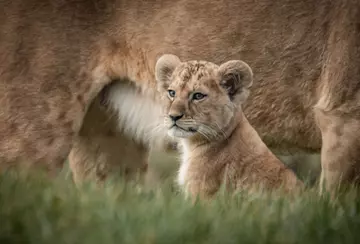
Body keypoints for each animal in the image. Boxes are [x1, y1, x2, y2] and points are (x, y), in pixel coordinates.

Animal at [0, 0, 358, 193]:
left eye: (199, 95)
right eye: (172, 92)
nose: (172, 114)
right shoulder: (344, 116)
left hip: (105, 140)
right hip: (34, 122)